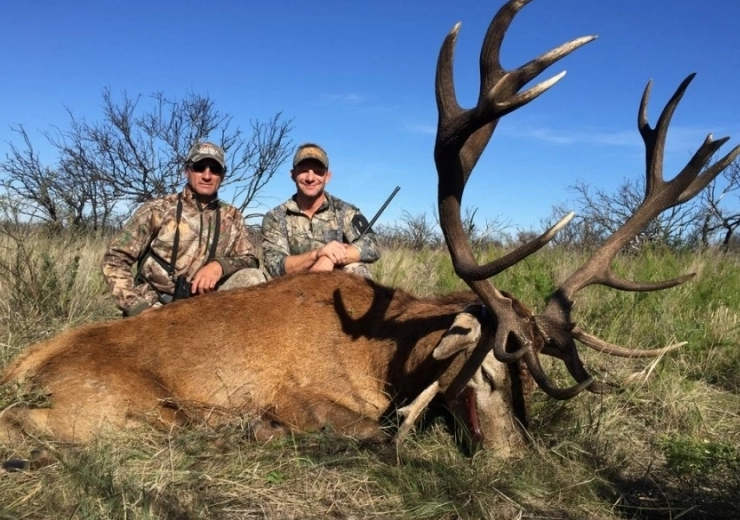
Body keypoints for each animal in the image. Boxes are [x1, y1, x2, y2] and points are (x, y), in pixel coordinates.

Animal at [1, 0, 738, 459]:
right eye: (493, 367)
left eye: (533, 376)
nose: (520, 456)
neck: (385, 355)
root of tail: (20, 369)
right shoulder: (304, 397)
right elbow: (370, 432)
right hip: (121, 413)